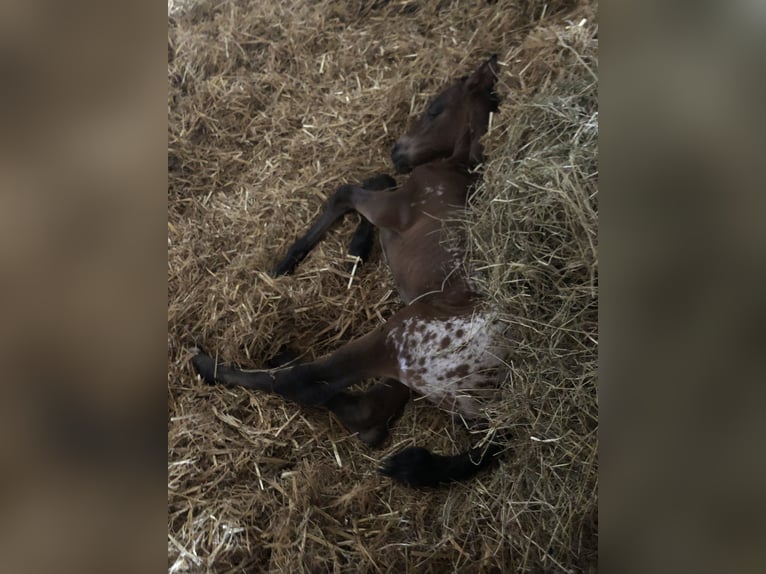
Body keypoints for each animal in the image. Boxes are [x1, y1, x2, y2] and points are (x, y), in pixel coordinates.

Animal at [194, 56, 504, 488]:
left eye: (434, 109)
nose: (397, 150)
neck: (458, 168)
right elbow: (379, 179)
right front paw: (357, 247)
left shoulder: (396, 208)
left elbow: (347, 191)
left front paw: (290, 259)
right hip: (412, 372)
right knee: (368, 415)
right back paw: (282, 355)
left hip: (399, 336)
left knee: (309, 386)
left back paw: (211, 365)